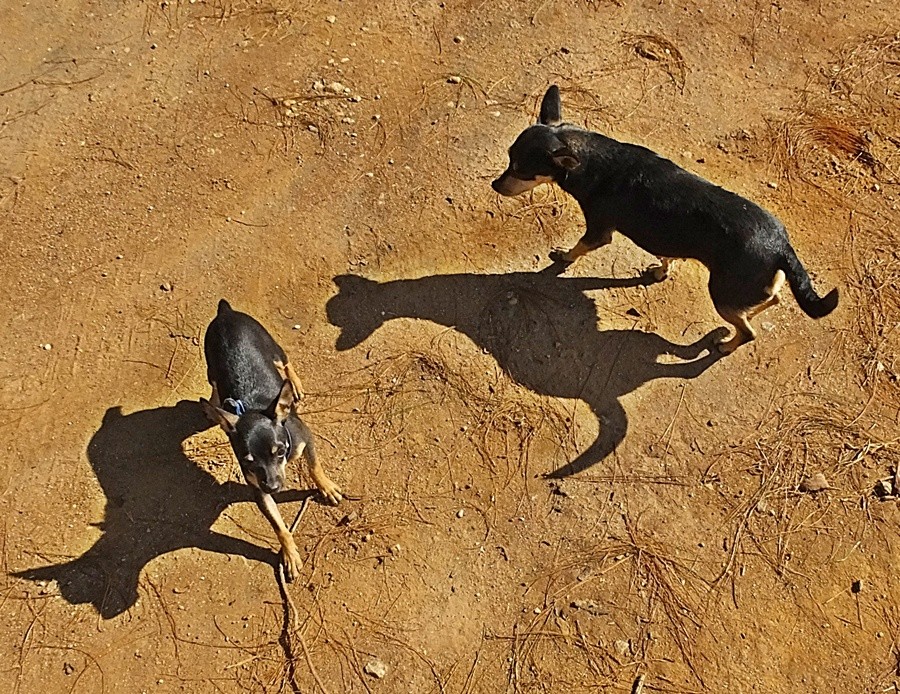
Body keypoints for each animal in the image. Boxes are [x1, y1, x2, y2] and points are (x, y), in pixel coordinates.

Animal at [200, 300, 342, 580]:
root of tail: (226, 312)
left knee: (286, 364)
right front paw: (289, 554)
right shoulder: (259, 491)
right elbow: (278, 526)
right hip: (211, 364)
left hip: (272, 347)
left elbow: (314, 467)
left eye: (279, 451)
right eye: (248, 461)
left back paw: (293, 384)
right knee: (214, 385)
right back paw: (213, 405)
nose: (274, 487)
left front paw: (326, 487)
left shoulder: (305, 439)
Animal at [492, 85, 836, 354]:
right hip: (744, 290)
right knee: (772, 299)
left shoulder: (599, 231)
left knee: (748, 331)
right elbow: (666, 255)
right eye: (509, 158)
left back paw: (726, 345)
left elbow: (577, 249)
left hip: (722, 295)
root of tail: (781, 245)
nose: (495, 185)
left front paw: (564, 256)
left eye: (521, 170)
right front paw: (661, 270)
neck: (590, 158)